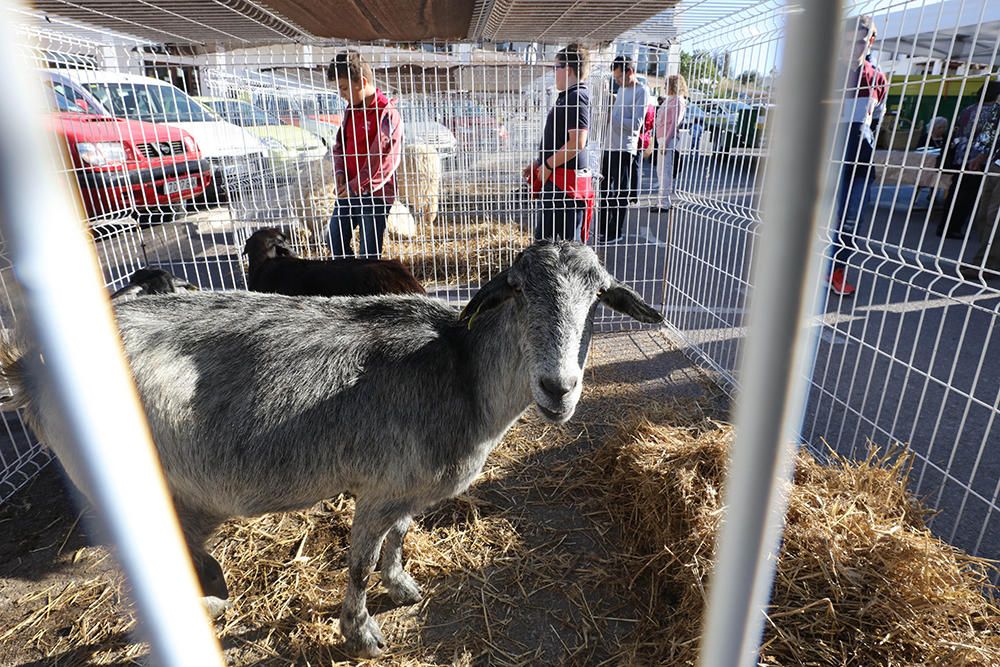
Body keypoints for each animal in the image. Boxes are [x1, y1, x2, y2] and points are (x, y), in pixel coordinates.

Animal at [5, 240, 664, 656]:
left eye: (601, 297)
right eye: (518, 289)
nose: (558, 388)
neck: (463, 371)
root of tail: (29, 372)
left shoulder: (403, 487)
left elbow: (399, 538)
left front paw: (403, 587)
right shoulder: (377, 487)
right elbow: (358, 564)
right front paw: (361, 633)